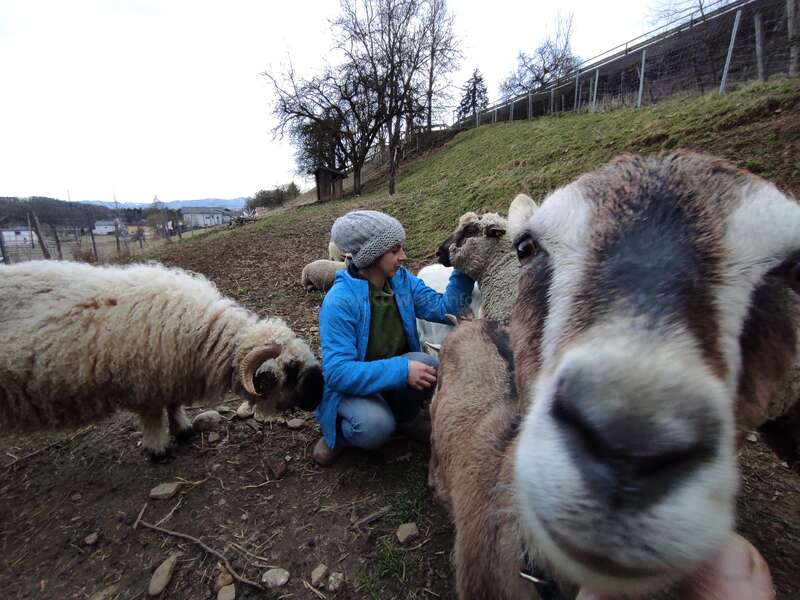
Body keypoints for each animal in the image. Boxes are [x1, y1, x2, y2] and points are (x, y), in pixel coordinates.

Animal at [0, 260, 323, 460]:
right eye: (290, 370)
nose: (319, 393)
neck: (198, 331)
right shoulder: (146, 384)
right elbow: (154, 416)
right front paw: (158, 450)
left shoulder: (169, 373)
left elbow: (174, 404)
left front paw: (183, 430)